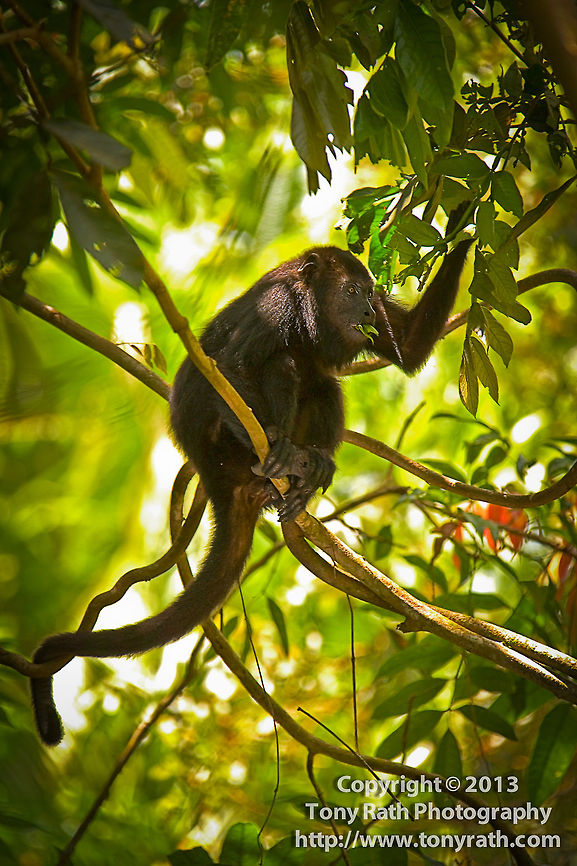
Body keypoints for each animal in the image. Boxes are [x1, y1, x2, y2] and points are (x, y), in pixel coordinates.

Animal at [30, 237, 471, 744]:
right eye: (351, 290)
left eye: (369, 292)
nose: (366, 309)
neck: (309, 302)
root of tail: (211, 472)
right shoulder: (276, 305)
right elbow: (231, 366)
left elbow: (409, 344)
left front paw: (466, 233)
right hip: (223, 445)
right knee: (282, 364)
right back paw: (279, 455)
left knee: (325, 384)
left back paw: (308, 470)